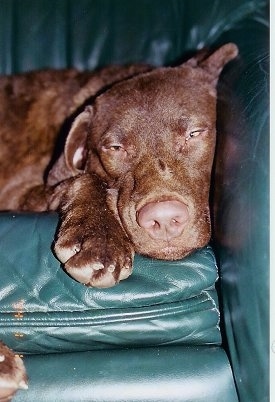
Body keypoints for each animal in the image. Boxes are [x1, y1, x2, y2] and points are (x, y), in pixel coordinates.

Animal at [0, 43, 238, 288]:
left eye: (194, 133)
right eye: (115, 147)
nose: (163, 219)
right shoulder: (16, 193)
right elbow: (87, 178)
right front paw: (98, 237)